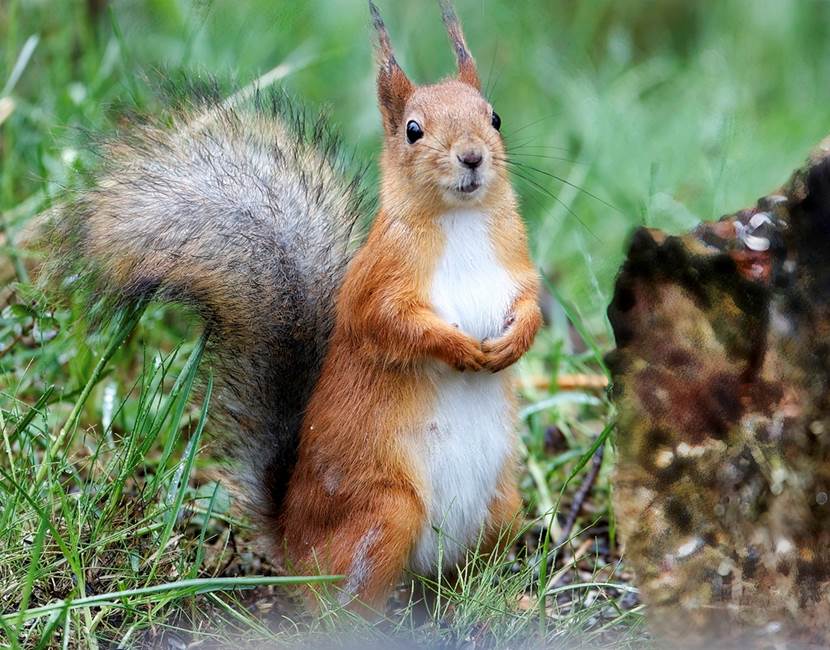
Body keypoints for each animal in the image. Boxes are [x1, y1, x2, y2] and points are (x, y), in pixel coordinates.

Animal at [45, 0, 541, 608]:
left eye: (494, 118)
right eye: (413, 129)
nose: (472, 157)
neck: (462, 221)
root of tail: (294, 541)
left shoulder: (516, 265)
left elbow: (532, 303)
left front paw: (513, 341)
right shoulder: (376, 287)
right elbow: (393, 327)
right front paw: (460, 348)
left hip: (502, 507)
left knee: (462, 576)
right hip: (386, 514)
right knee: (342, 604)